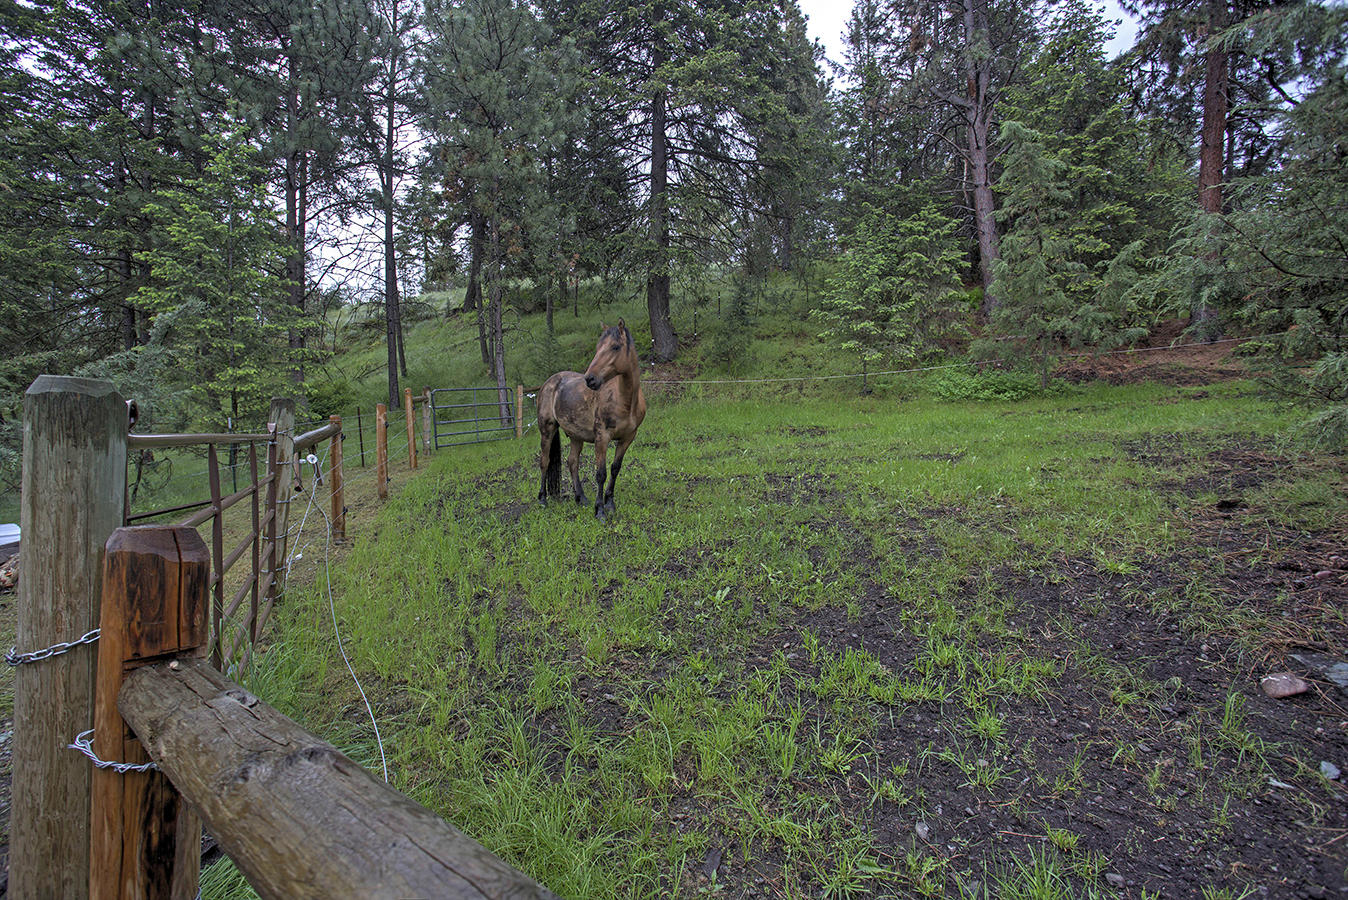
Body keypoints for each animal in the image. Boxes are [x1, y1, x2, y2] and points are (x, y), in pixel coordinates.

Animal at [537, 319, 647, 520]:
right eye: (598, 347)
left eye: (615, 347)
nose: (590, 379)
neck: (625, 401)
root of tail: (550, 382)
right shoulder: (602, 438)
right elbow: (601, 474)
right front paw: (600, 510)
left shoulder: (627, 438)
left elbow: (615, 469)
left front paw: (610, 503)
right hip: (547, 430)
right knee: (545, 461)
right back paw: (542, 499)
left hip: (575, 436)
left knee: (572, 462)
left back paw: (581, 498)